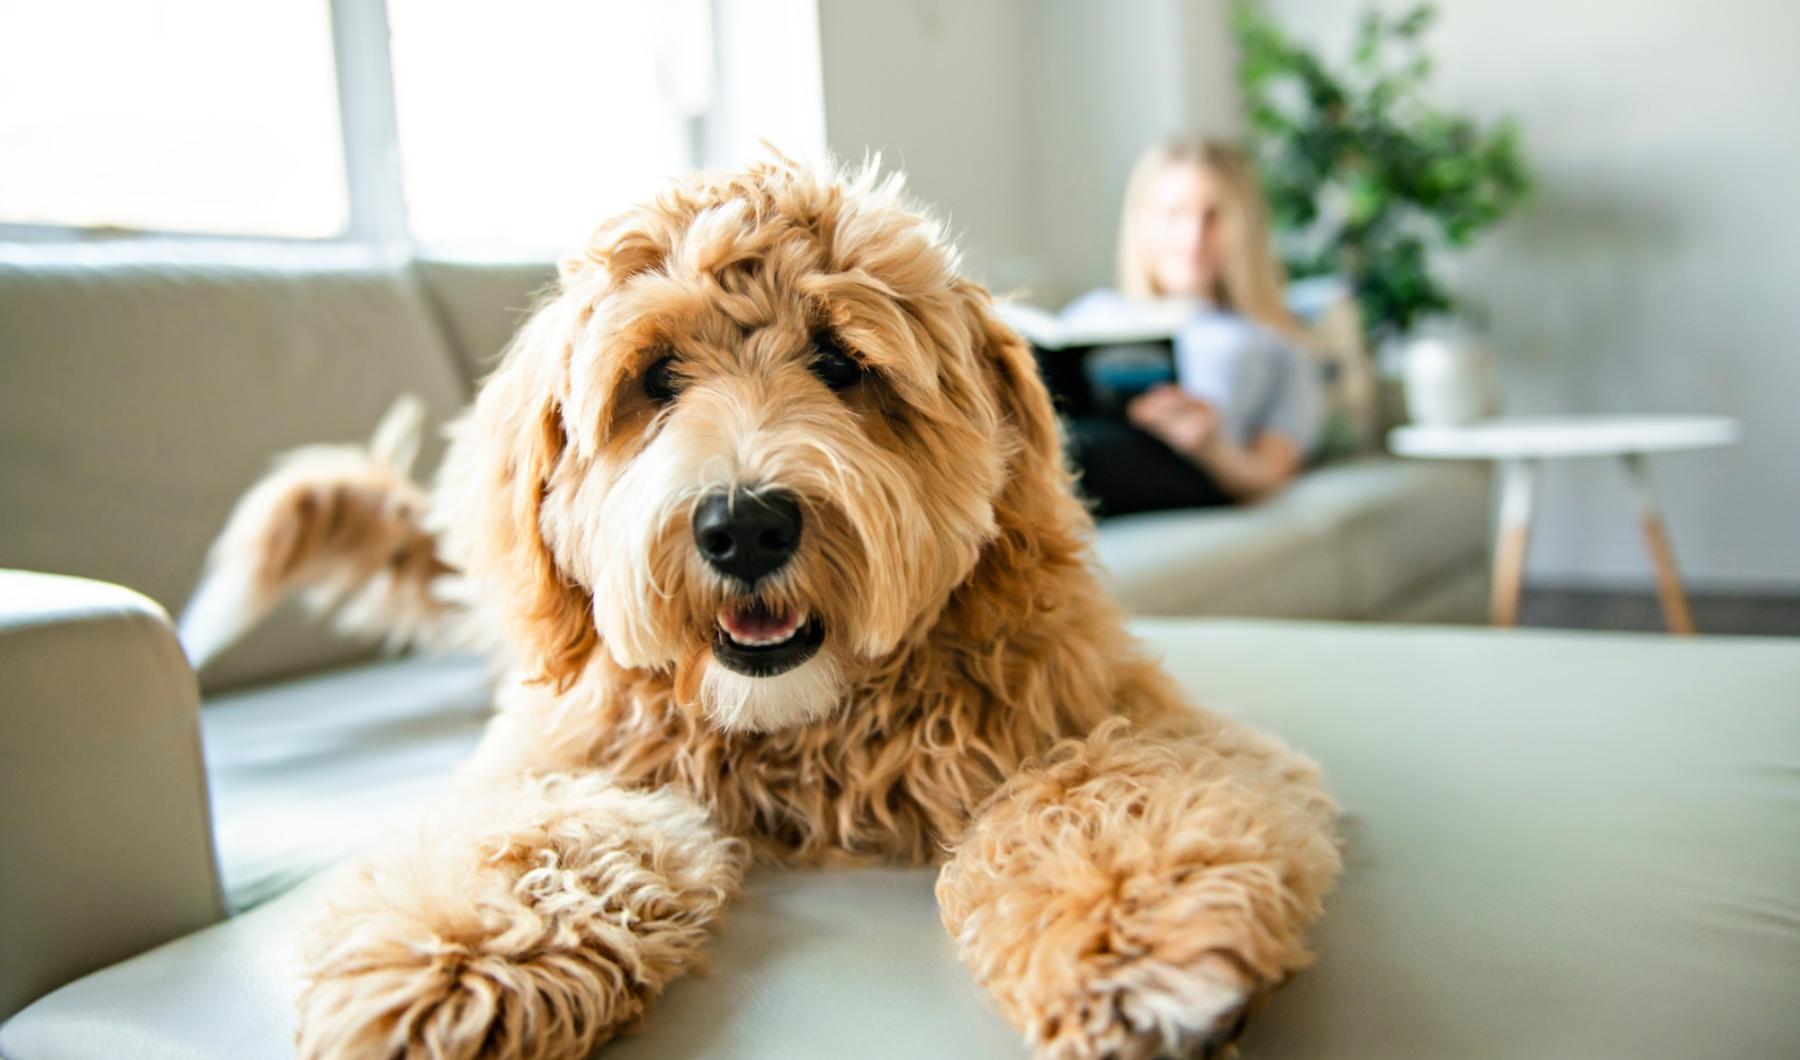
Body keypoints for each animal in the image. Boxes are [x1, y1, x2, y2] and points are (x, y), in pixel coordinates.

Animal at [186, 151, 1339, 1058]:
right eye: (656, 377)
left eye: (841, 362)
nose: (743, 527)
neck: (802, 733)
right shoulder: (562, 758)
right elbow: (539, 835)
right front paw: (450, 961)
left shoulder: (1126, 716)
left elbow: (1103, 791)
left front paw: (1136, 941)